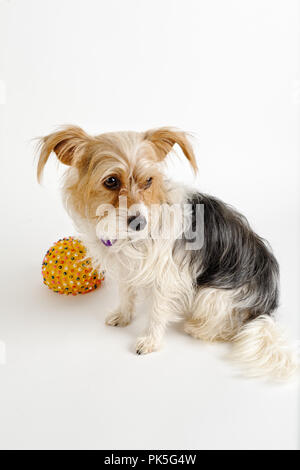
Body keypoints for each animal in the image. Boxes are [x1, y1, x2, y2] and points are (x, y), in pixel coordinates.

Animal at [37, 126, 298, 380]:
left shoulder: (168, 277)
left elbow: (157, 311)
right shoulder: (126, 269)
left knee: (227, 326)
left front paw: (150, 341)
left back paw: (198, 328)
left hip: (214, 294)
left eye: (148, 180)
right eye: (111, 181)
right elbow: (126, 294)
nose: (139, 223)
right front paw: (123, 316)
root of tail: (266, 307)